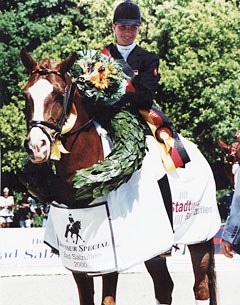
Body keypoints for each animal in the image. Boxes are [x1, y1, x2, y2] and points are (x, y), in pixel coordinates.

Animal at [19, 50, 217, 304]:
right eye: (26, 95)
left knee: (200, 288)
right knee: (164, 288)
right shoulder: (79, 263)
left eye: (58, 94)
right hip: (154, 248)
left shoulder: (111, 258)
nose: (37, 146)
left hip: (199, 238)